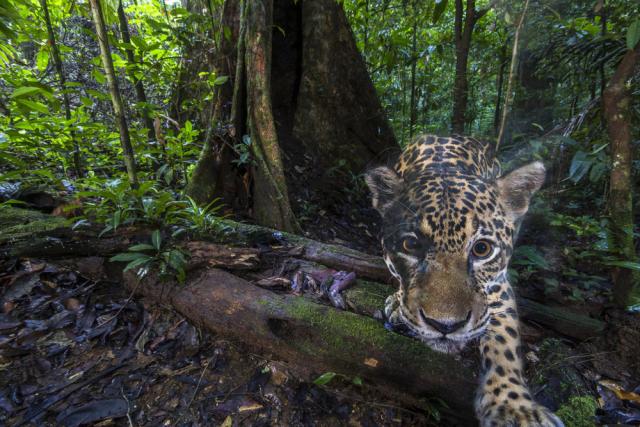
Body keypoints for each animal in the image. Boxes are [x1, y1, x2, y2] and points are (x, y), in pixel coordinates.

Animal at [365, 134, 564, 427]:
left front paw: (515, 409)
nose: (446, 325)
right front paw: (398, 304)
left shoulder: (497, 287)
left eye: (482, 249)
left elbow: (504, 341)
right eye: (410, 245)